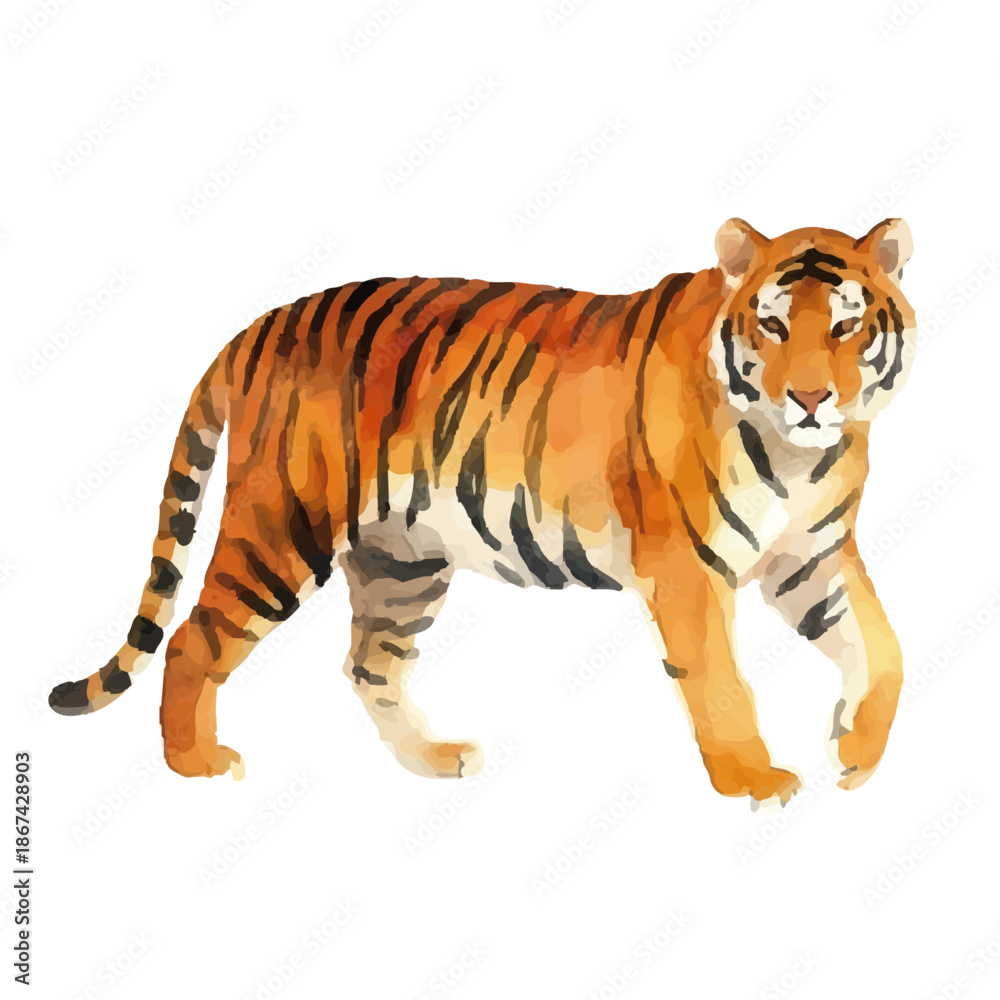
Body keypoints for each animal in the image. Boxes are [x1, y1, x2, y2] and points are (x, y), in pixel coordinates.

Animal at [49, 218, 916, 807]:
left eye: (847, 325)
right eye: (772, 324)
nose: (811, 398)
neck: (804, 456)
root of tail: (256, 326)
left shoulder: (813, 557)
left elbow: (885, 649)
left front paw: (856, 750)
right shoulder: (686, 568)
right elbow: (722, 681)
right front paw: (756, 780)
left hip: (402, 560)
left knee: (369, 665)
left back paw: (434, 761)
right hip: (283, 527)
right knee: (195, 637)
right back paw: (196, 764)